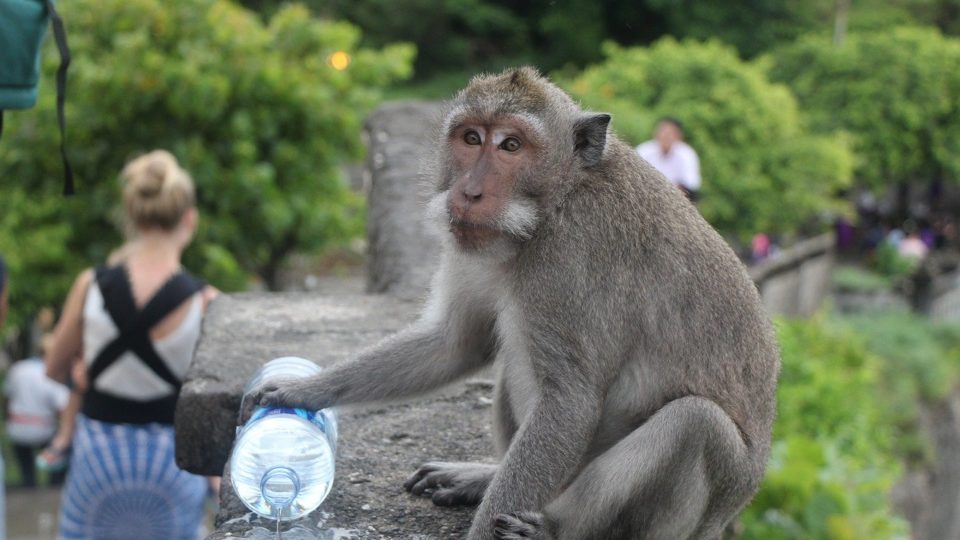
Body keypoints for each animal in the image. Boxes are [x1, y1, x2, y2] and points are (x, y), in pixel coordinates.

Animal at [258, 67, 784, 540]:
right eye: (472, 138)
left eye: (512, 146)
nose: (469, 192)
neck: (553, 204)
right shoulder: (472, 243)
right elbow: (457, 342)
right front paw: (298, 391)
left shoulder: (572, 257)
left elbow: (569, 404)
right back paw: (484, 477)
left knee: (695, 423)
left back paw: (554, 527)